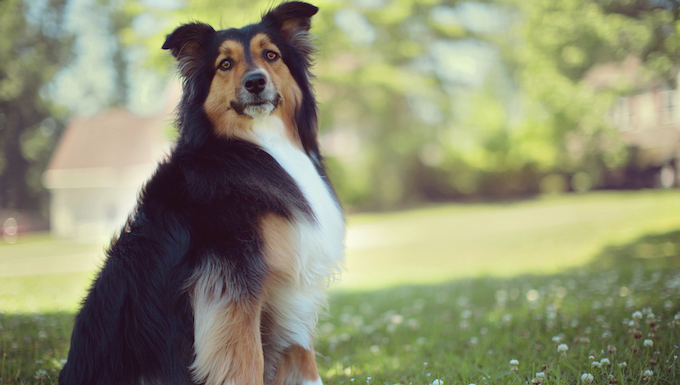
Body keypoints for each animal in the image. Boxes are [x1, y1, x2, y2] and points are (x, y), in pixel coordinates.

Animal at [57, 2, 346, 380]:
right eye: (225, 64)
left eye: (271, 55)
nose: (256, 82)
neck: (256, 143)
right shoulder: (232, 287)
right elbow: (247, 363)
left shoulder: (291, 285)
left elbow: (304, 359)